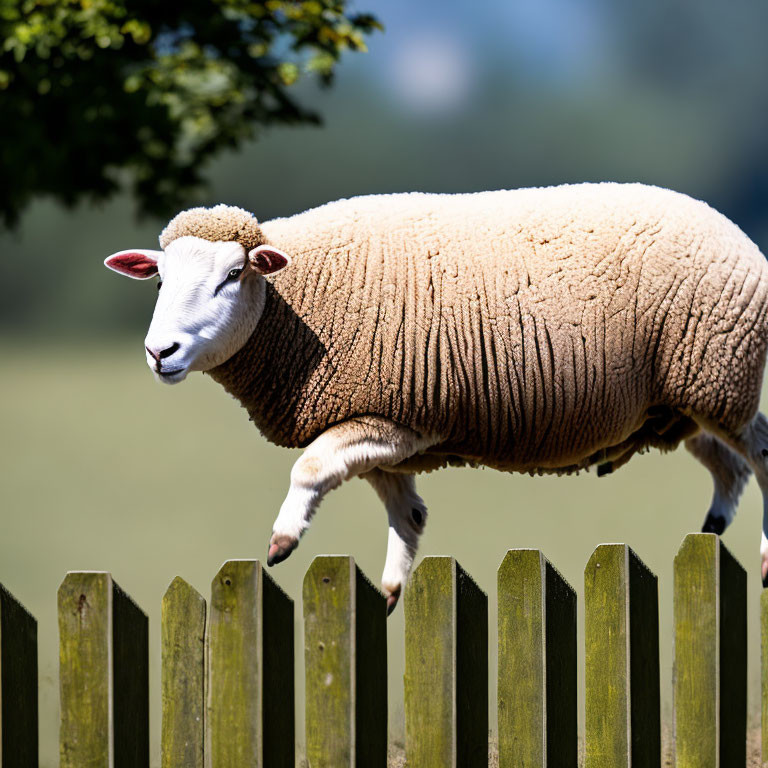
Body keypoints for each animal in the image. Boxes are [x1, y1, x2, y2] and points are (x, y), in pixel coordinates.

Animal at [105, 183, 768, 608]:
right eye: (160, 280)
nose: (159, 352)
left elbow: (310, 468)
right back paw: (713, 524)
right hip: (684, 398)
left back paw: (761, 554)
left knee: (759, 456)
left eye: (233, 274)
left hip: (719, 376)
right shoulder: (384, 423)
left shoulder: (396, 417)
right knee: (728, 464)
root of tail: (736, 229)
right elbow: (407, 512)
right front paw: (393, 589)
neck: (292, 303)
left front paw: (283, 540)